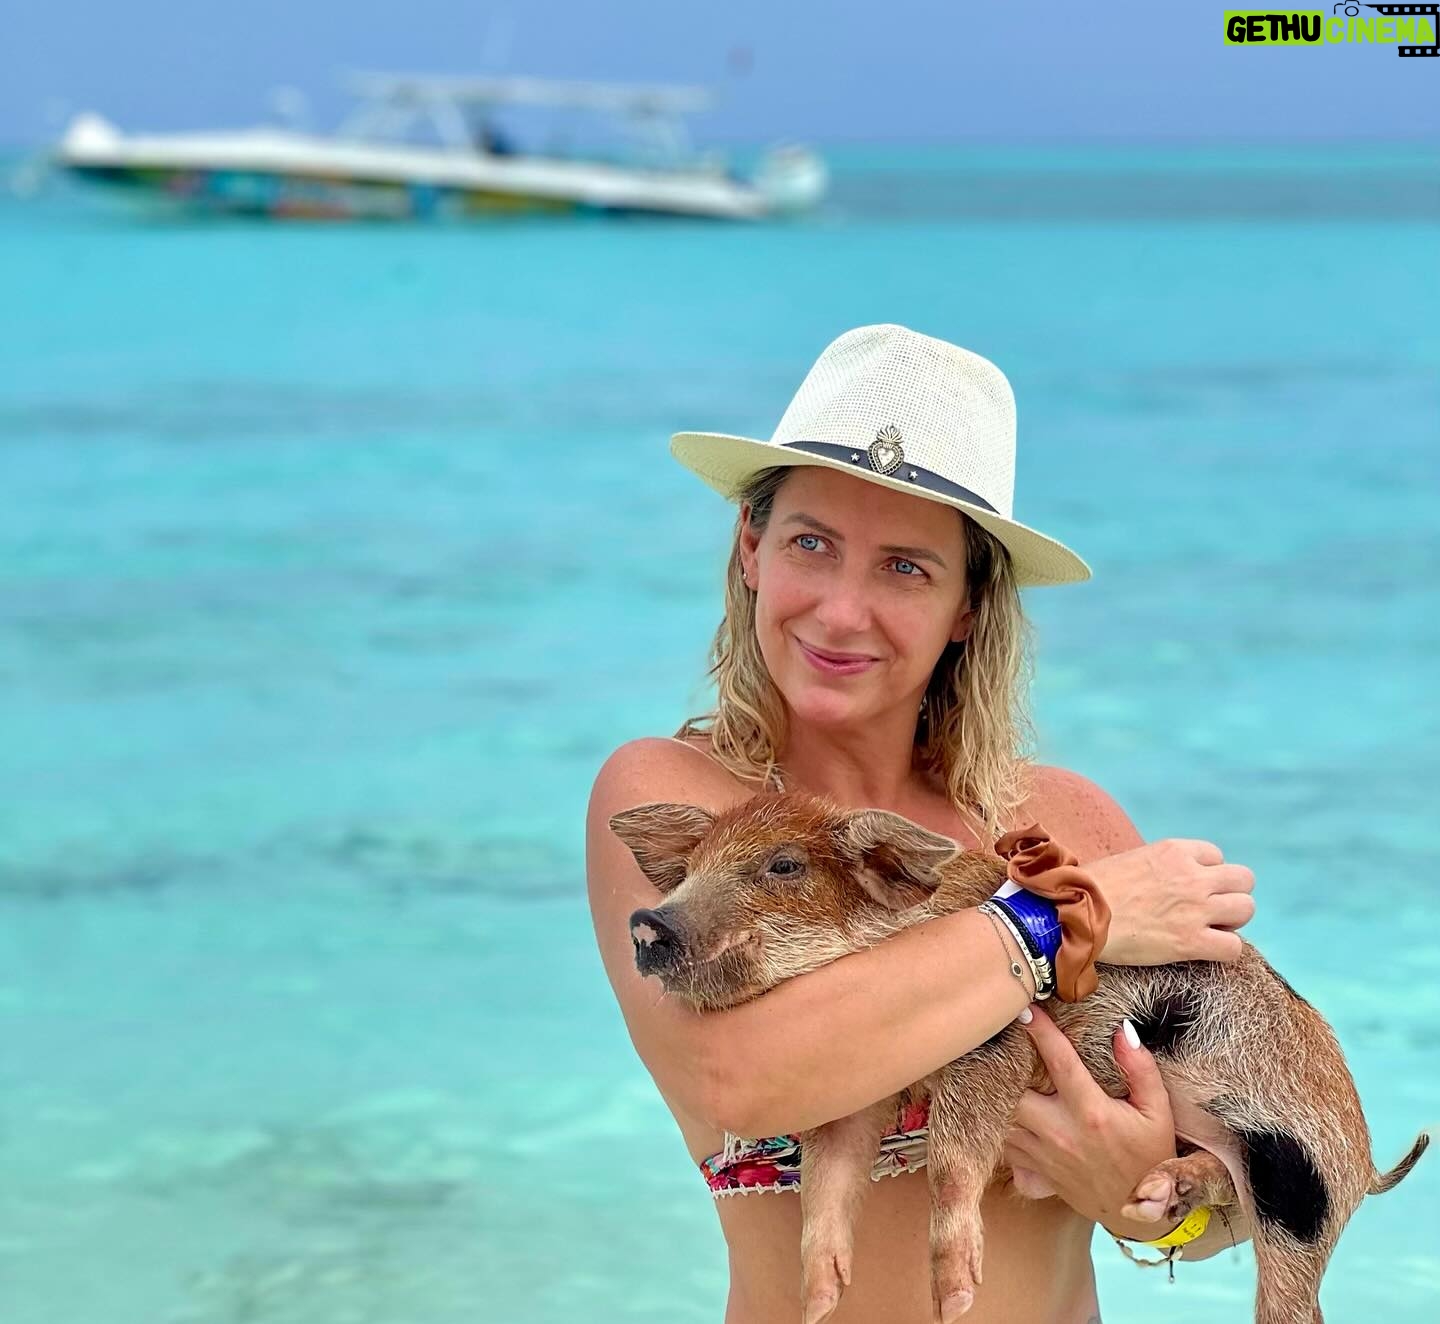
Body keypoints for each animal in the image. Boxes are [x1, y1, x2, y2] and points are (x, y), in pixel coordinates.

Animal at [612, 790, 1429, 1324]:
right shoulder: (863, 1096)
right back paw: (1164, 1186)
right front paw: (820, 1302)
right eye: (696, 864)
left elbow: (951, 1158)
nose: (648, 921)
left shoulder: (1002, 1040)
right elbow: (828, 1184)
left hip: (1301, 1182)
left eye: (783, 868)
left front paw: (953, 1299)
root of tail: (1366, 1162)